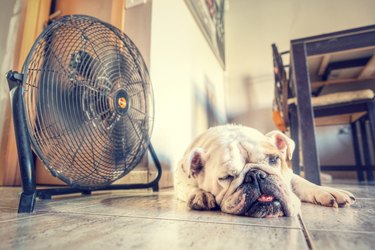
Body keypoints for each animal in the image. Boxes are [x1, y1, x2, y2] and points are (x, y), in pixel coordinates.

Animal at [175, 124, 356, 217]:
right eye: (226, 177)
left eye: (274, 159)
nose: (255, 175)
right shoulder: (180, 178)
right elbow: (188, 187)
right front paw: (201, 194)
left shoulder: (289, 175)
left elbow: (303, 183)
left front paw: (327, 191)